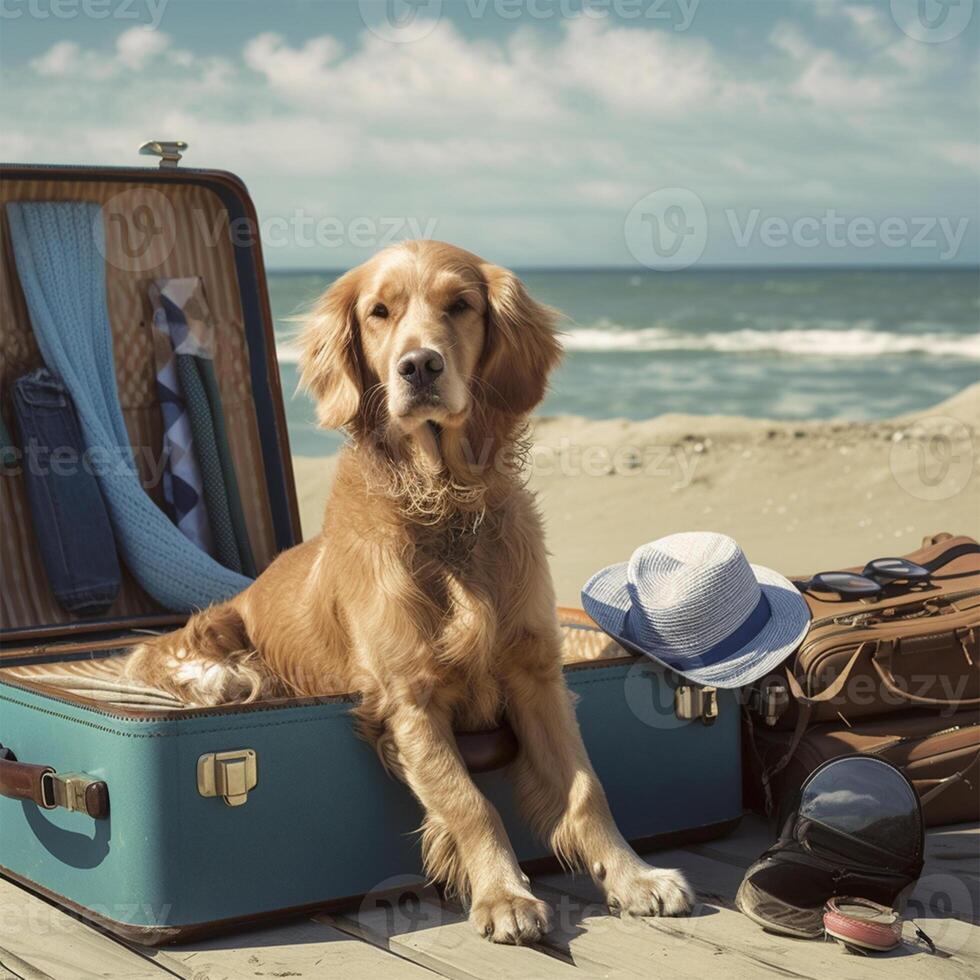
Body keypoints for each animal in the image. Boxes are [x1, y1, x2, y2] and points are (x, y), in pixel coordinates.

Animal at [126, 241, 692, 944]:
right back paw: (220, 678)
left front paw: (634, 876)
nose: (419, 365)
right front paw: (503, 894)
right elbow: (468, 800)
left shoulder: (537, 674)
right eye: (379, 312)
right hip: (221, 626)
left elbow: (587, 789)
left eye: (461, 304)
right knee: (162, 655)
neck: (444, 504)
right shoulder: (409, 697)